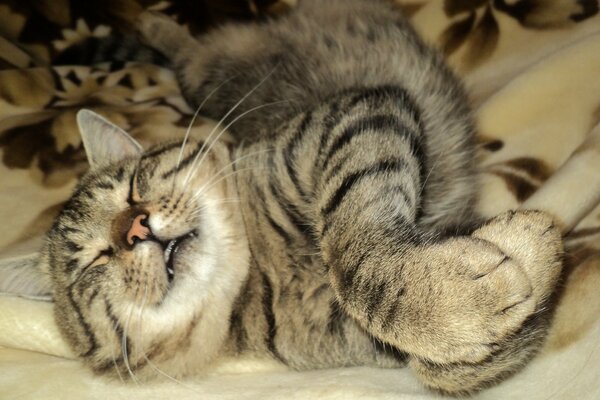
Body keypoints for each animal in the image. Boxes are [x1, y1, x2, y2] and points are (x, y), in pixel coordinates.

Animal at [3, 0, 564, 394]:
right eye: (92, 262)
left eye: (133, 188)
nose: (135, 228)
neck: (259, 267)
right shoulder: (354, 337)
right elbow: (441, 365)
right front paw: (463, 298)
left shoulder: (355, 115)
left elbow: (350, 239)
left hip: (215, 72)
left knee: (185, 46)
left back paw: (151, 20)